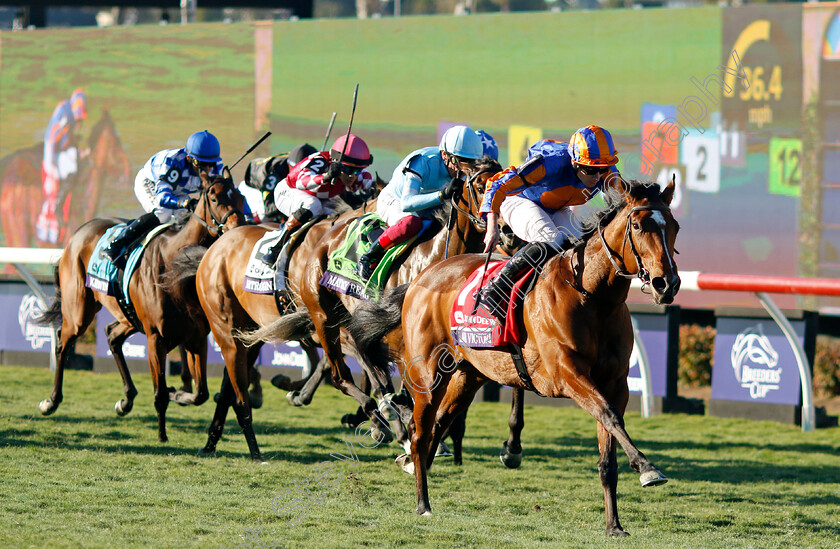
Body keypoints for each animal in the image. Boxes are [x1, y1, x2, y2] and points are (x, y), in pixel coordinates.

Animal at [37, 169, 248, 444]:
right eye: (214, 198)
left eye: (241, 197)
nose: (238, 229)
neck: (175, 267)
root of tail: (78, 233)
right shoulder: (156, 338)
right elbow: (160, 395)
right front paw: (162, 436)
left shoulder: (196, 336)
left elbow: (200, 393)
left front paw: (178, 394)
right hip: (79, 311)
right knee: (63, 342)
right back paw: (51, 402)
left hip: (127, 316)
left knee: (112, 336)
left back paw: (126, 401)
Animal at [350, 179, 684, 536]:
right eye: (638, 226)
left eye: (674, 227)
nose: (667, 283)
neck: (593, 297)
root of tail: (421, 277)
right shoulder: (568, 375)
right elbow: (609, 416)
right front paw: (647, 467)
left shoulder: (615, 384)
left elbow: (608, 446)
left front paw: (614, 525)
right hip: (428, 374)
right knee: (420, 433)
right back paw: (422, 504)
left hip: (468, 376)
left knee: (438, 424)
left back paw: (416, 471)